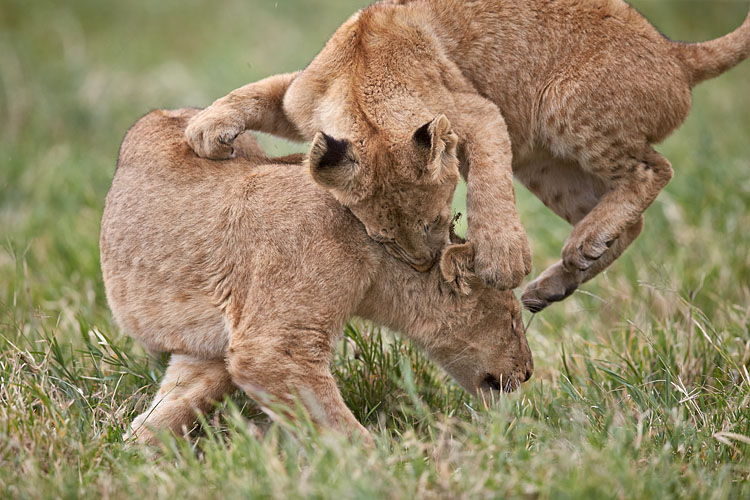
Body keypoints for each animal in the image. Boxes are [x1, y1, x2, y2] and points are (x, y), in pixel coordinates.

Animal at [100, 108, 533, 445]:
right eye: (513, 322)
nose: (529, 373)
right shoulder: (271, 347)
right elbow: (337, 424)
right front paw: (381, 469)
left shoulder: (212, 350)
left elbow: (178, 403)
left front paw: (134, 446)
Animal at [185, 0, 750, 310]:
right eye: (381, 238)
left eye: (439, 222)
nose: (421, 267)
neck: (362, 85)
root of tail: (676, 54)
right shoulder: (301, 97)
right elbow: (260, 91)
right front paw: (206, 128)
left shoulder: (477, 111)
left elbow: (488, 183)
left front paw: (501, 256)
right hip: (544, 163)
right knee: (632, 221)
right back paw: (564, 272)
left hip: (566, 106)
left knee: (655, 168)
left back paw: (580, 244)